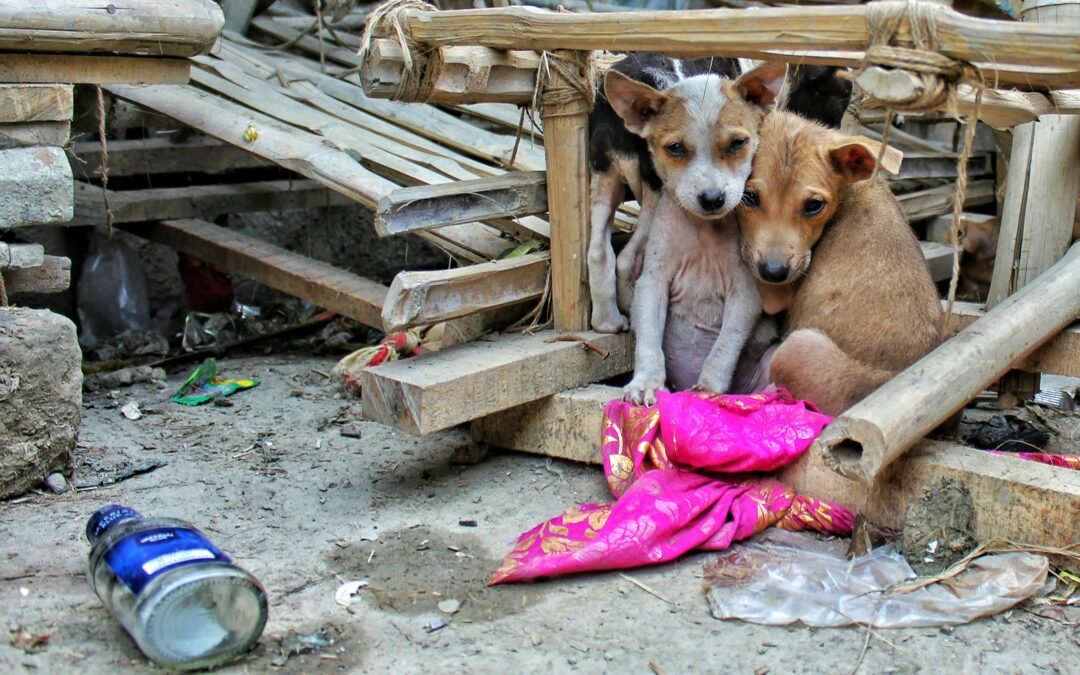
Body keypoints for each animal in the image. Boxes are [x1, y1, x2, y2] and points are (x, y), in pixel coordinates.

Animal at [604, 61, 790, 406]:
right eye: (675, 148)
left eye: (737, 144)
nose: (713, 198)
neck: (704, 232)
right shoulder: (652, 283)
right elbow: (648, 342)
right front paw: (647, 383)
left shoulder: (744, 295)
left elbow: (723, 349)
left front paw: (708, 389)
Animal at [738, 109, 941, 416]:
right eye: (748, 197)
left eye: (814, 205)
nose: (774, 273)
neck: (851, 191)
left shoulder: (777, 292)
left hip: (796, 346)